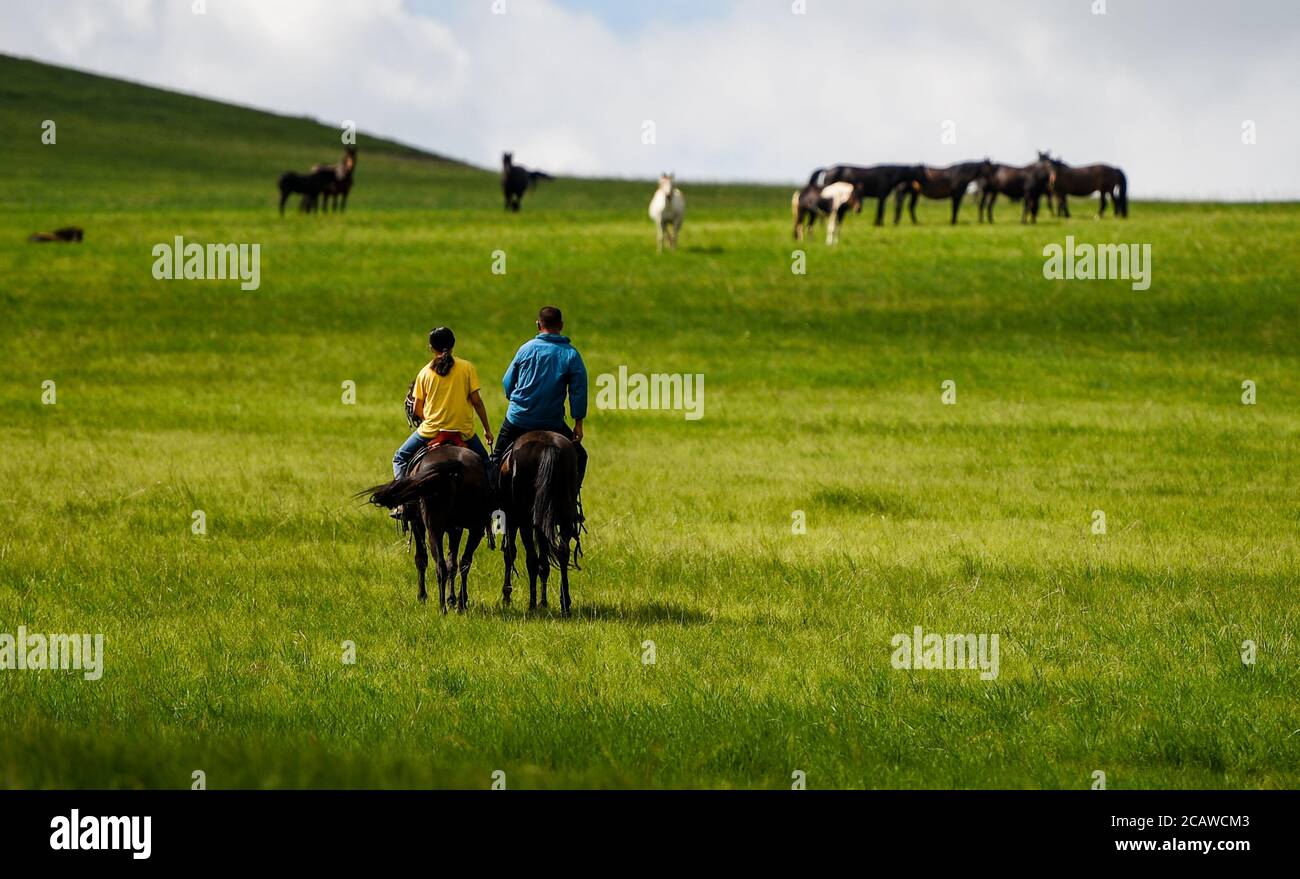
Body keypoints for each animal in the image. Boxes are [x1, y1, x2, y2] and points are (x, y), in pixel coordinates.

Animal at [361, 447, 491, 611]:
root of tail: (456, 466)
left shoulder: (417, 523)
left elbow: (421, 559)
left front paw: (422, 597)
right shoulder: (456, 529)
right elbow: (452, 563)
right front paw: (452, 599)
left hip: (433, 528)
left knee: (440, 565)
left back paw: (442, 608)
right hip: (476, 527)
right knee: (464, 562)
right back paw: (461, 603)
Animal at [493, 429, 582, 613]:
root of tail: (548, 446)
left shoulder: (512, 521)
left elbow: (510, 553)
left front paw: (507, 596)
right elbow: (544, 562)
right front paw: (545, 602)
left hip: (525, 522)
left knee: (531, 560)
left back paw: (532, 604)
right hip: (563, 517)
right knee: (562, 553)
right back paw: (564, 603)